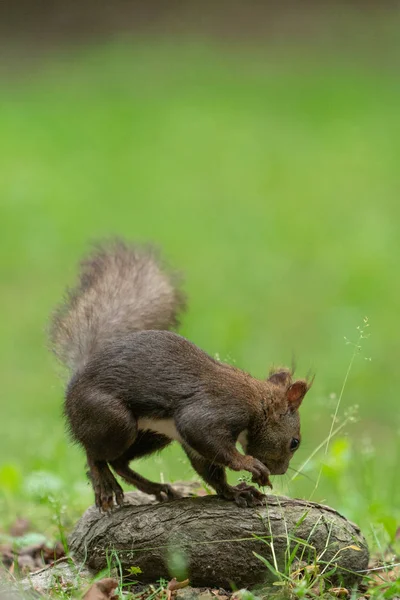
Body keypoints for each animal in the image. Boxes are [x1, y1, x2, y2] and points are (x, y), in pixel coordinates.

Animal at [50, 239, 310, 510]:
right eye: (295, 442)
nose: (281, 470)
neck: (257, 402)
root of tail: (76, 381)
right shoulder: (217, 410)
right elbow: (209, 438)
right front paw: (248, 464)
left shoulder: (191, 442)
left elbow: (209, 469)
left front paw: (235, 492)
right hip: (112, 419)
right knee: (96, 454)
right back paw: (104, 481)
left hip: (152, 435)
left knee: (119, 462)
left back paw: (155, 488)